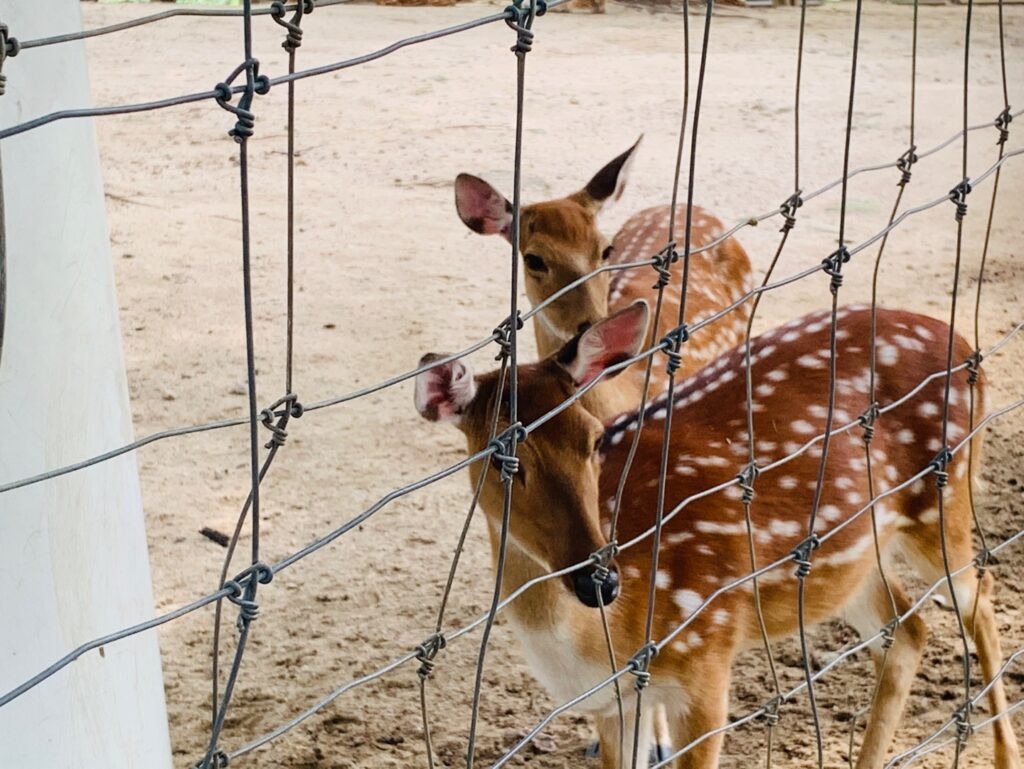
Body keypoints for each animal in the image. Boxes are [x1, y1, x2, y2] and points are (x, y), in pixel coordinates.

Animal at [413, 303, 1015, 765]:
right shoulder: (616, 703)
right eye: (501, 458)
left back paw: (1005, 752)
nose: (598, 581)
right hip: (850, 556)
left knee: (980, 596)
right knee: (908, 626)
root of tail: (965, 342)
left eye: (593, 438)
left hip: (944, 497)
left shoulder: (707, 657)